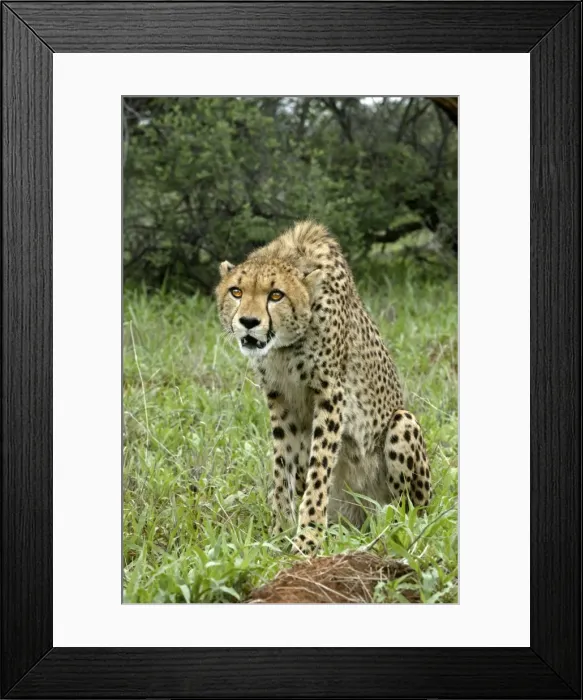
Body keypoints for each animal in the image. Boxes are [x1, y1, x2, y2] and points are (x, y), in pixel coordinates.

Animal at [215, 221, 431, 555]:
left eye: (275, 295)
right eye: (236, 291)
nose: (248, 322)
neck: (285, 345)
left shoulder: (330, 395)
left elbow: (319, 471)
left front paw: (307, 540)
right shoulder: (280, 398)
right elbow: (281, 468)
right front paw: (279, 532)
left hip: (402, 424)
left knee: (409, 511)